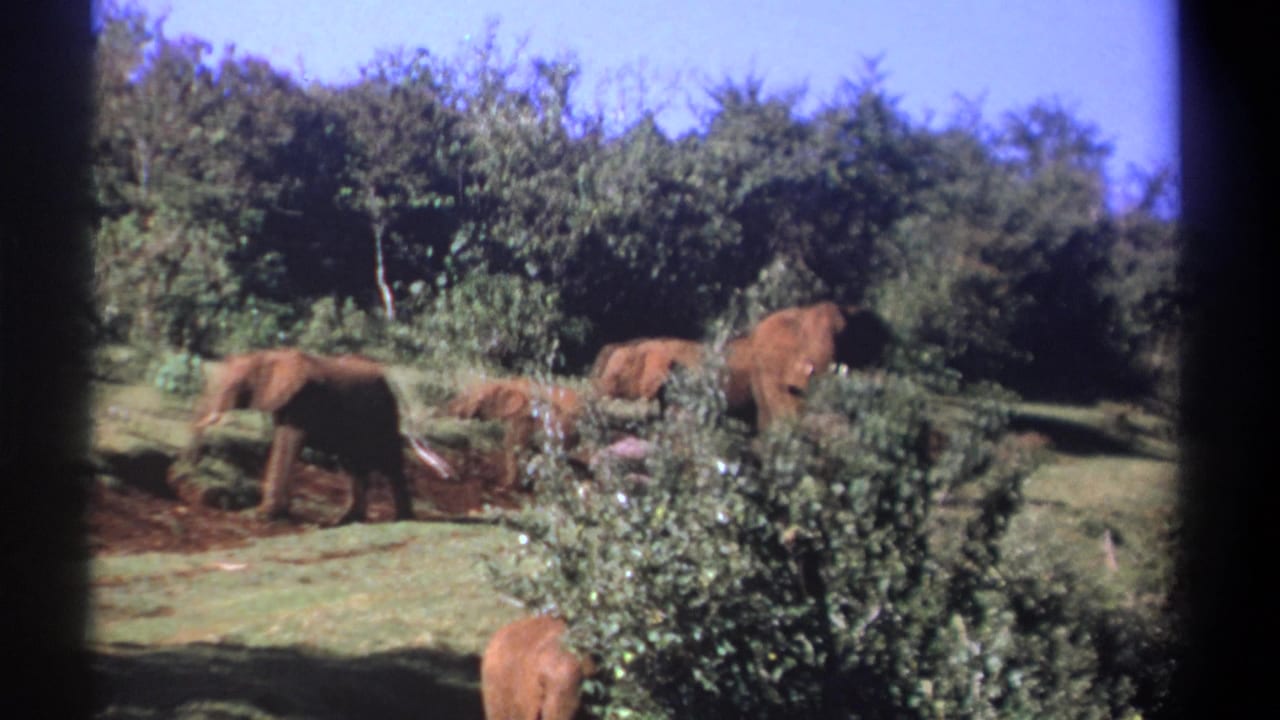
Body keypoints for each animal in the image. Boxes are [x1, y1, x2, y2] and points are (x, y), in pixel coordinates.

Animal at [186, 348, 454, 524]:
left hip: (383, 412)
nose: (192, 465)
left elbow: (287, 442)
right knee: (354, 463)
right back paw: (348, 519)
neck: (266, 355)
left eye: (234, 387)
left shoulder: (304, 402)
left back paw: (402, 518)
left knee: (387, 460)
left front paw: (264, 516)